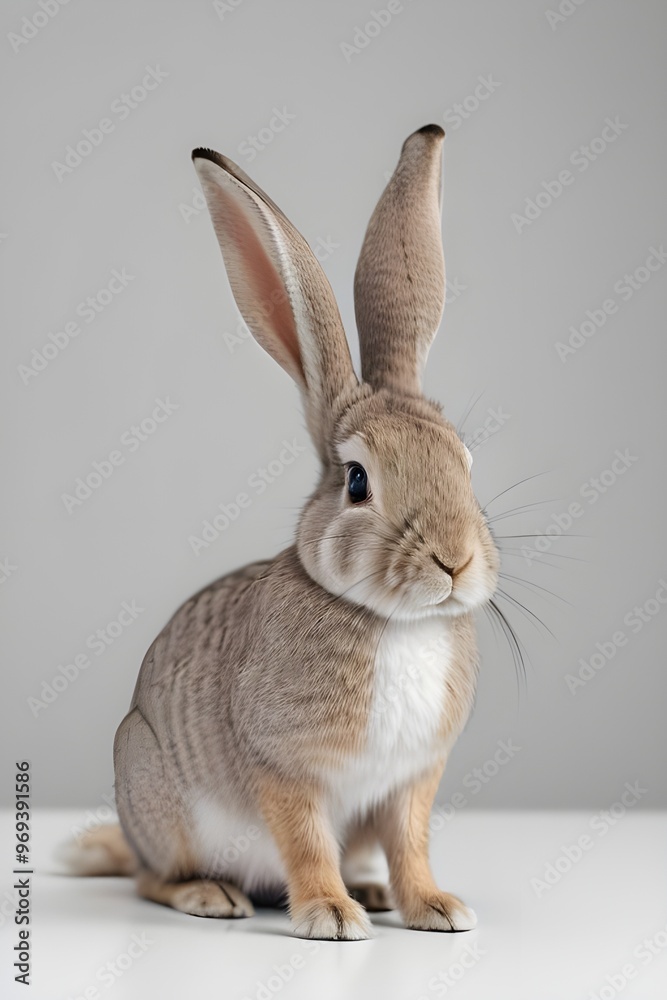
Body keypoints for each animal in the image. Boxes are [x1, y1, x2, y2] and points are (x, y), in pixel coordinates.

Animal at [65, 124, 500, 941]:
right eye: (357, 481)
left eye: (465, 463)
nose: (455, 561)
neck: (394, 622)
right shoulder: (286, 770)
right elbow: (304, 843)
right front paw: (328, 917)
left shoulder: (410, 783)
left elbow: (411, 844)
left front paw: (434, 907)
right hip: (158, 796)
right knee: (150, 878)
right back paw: (212, 896)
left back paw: (371, 892)